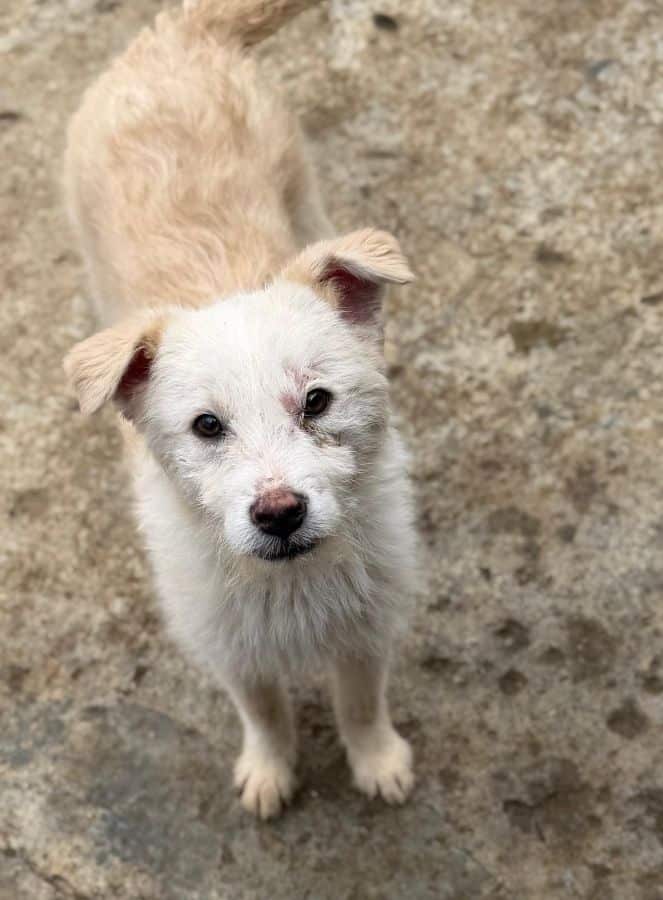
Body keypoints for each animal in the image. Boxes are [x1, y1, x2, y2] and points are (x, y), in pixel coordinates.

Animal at [64, 0, 418, 819]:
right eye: (206, 426)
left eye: (317, 401)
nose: (279, 513)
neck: (291, 580)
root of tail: (176, 37)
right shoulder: (228, 646)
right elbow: (263, 710)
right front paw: (269, 769)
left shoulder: (367, 629)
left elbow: (361, 703)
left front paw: (377, 761)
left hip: (304, 189)